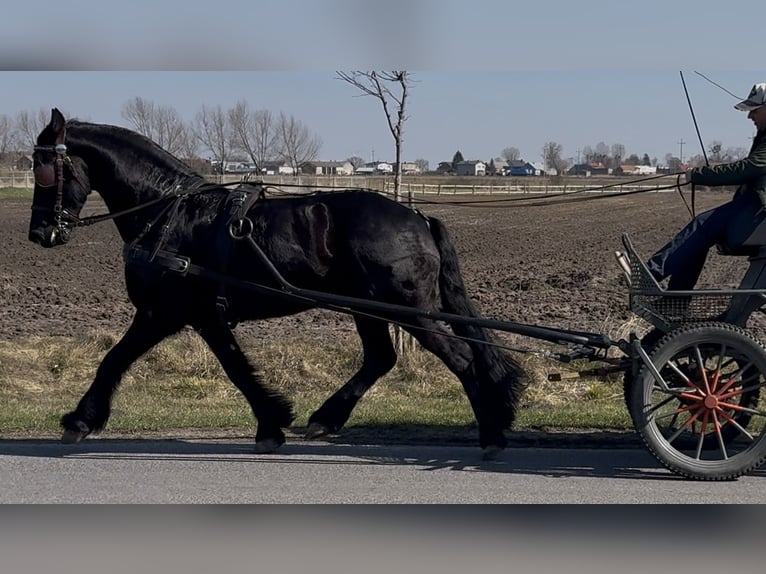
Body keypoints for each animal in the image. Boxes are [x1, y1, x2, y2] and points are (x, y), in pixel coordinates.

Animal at [25, 110, 528, 456]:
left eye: (44, 169)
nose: (40, 233)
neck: (169, 212)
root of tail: (417, 216)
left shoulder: (163, 312)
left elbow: (116, 360)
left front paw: (79, 421)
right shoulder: (202, 316)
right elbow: (235, 367)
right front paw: (272, 423)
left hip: (405, 309)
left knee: (461, 359)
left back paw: (490, 435)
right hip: (367, 307)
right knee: (381, 358)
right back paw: (327, 418)